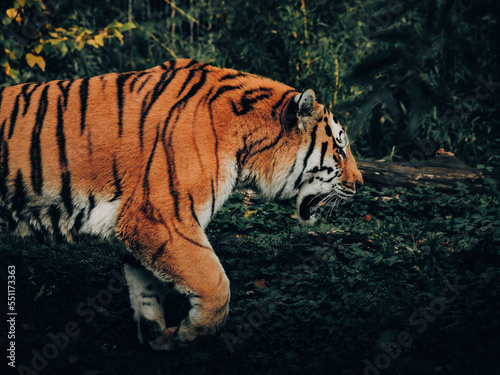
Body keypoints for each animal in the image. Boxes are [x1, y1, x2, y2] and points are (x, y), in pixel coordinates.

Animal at [0, 57, 362, 352]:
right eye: (340, 149)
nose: (360, 184)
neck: (247, 146)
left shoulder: (141, 222)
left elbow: (145, 287)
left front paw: (158, 337)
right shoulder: (160, 217)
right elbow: (215, 284)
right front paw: (190, 334)